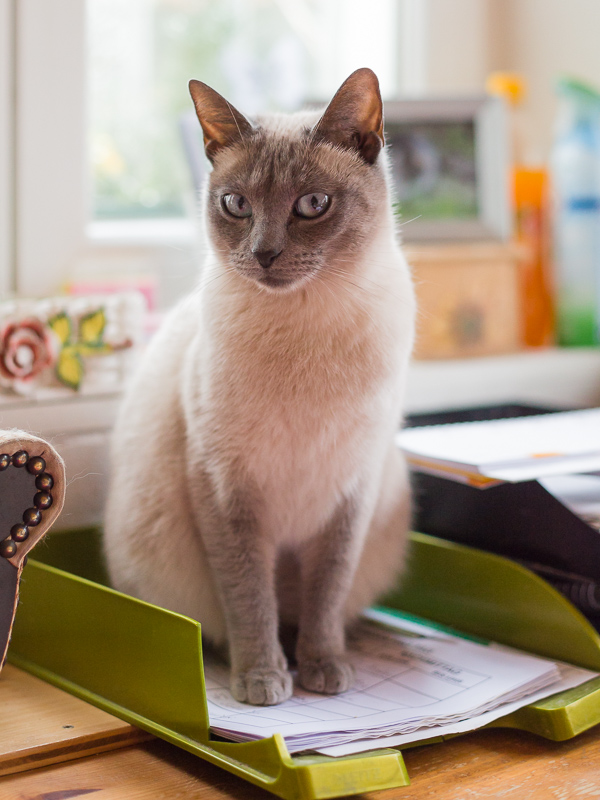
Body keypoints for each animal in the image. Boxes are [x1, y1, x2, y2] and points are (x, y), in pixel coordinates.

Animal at [104, 67, 412, 708]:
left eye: (313, 205)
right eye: (237, 205)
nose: (264, 253)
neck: (304, 328)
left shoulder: (353, 491)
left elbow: (325, 595)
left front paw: (324, 671)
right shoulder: (226, 490)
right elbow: (250, 599)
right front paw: (265, 681)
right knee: (230, 622)